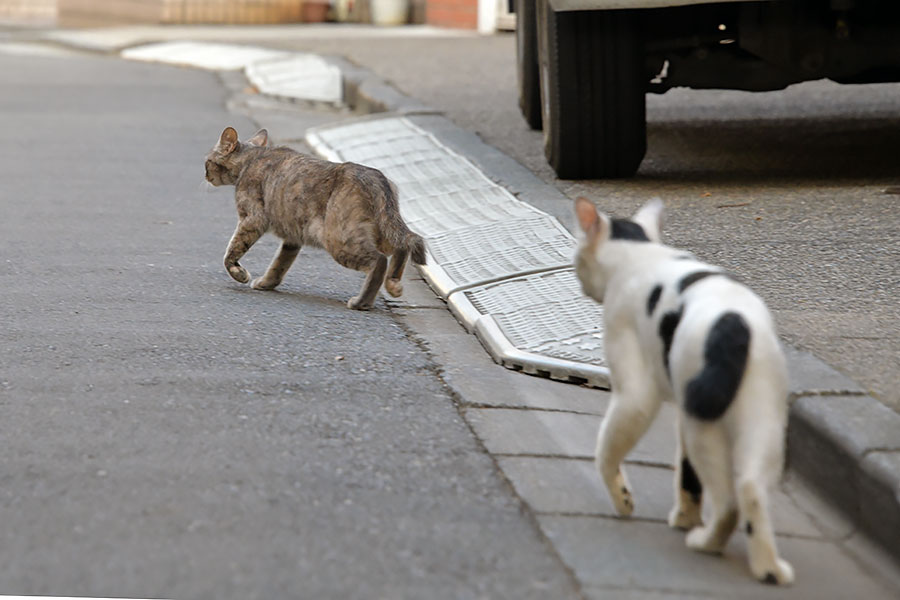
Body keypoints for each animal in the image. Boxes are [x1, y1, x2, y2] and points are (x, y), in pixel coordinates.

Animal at [206, 129, 428, 312]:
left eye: (207, 162)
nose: (205, 174)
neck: (252, 158)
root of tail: (376, 177)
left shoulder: (252, 220)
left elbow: (231, 250)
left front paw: (239, 273)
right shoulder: (292, 237)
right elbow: (279, 264)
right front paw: (267, 283)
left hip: (340, 240)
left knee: (380, 260)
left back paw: (362, 302)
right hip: (384, 229)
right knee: (404, 244)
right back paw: (393, 284)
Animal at [572, 198, 792, 584]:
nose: (578, 279)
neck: (639, 252)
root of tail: (734, 323)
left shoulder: (636, 394)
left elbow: (607, 451)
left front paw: (623, 499)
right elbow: (687, 477)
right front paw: (685, 517)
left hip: (703, 426)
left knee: (729, 502)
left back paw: (706, 542)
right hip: (759, 418)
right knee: (750, 488)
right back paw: (768, 568)